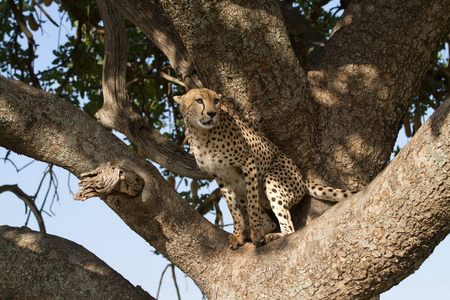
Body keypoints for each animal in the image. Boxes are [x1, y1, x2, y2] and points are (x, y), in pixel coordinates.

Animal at [174, 88, 356, 248]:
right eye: (199, 100)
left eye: (216, 101)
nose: (212, 113)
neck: (201, 134)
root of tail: (302, 178)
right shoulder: (220, 176)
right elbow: (233, 209)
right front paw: (238, 235)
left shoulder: (248, 163)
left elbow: (253, 203)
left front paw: (256, 233)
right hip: (241, 187)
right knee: (271, 222)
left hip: (273, 178)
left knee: (289, 228)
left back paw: (269, 236)